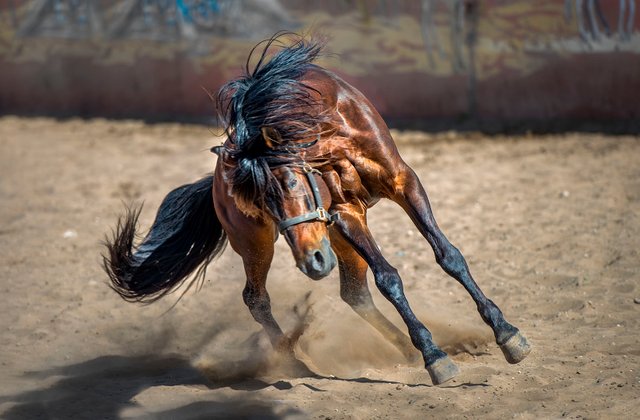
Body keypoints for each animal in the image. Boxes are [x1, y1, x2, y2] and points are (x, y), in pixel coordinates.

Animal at [105, 34, 532, 386]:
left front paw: (507, 334)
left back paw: (406, 350)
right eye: (262, 202)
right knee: (256, 298)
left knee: (353, 292)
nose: (312, 264)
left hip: (331, 240)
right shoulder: (344, 213)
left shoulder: (401, 182)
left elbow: (449, 256)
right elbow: (389, 278)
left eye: (294, 183)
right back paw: (296, 363)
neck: (328, 132)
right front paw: (435, 357)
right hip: (259, 244)